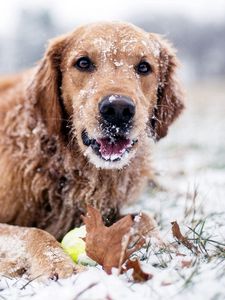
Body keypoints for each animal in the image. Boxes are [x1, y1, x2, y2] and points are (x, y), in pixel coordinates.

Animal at [0, 22, 184, 280]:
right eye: (83, 63)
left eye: (144, 67)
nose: (118, 109)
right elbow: (33, 232)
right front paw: (58, 265)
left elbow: (143, 217)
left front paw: (165, 247)